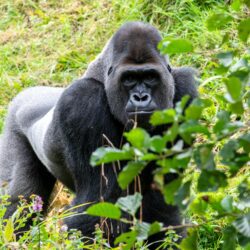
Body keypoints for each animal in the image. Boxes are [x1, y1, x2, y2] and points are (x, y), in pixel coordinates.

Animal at [0, 22, 197, 247]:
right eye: (129, 79)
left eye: (150, 77)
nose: (140, 97)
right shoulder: (83, 101)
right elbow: (98, 200)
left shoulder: (185, 91)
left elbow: (162, 196)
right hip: (13, 119)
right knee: (19, 199)